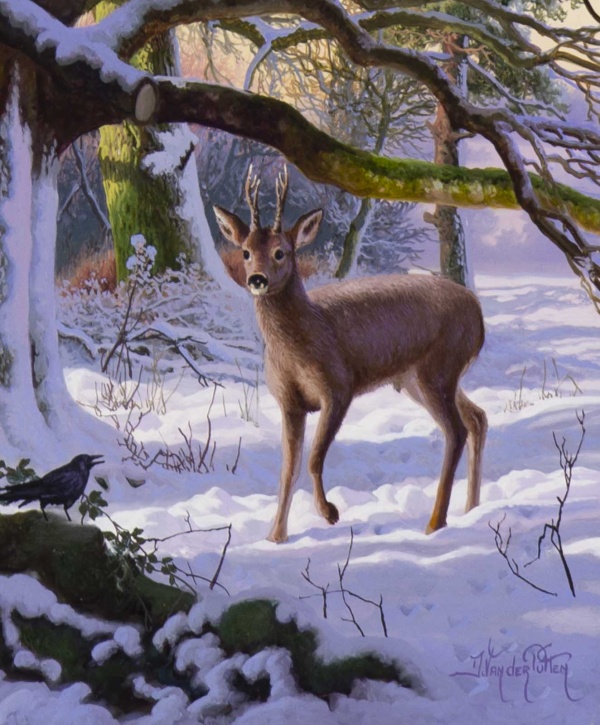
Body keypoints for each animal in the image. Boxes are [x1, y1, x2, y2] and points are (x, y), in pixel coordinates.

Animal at [213, 166, 487, 543]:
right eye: (245, 251)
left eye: (281, 251)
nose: (257, 279)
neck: (300, 344)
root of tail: (478, 314)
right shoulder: (289, 401)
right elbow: (288, 469)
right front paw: (275, 536)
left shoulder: (338, 386)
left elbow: (313, 458)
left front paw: (329, 513)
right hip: (423, 378)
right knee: (477, 418)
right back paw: (471, 509)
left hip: (438, 369)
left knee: (456, 430)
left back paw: (435, 523)